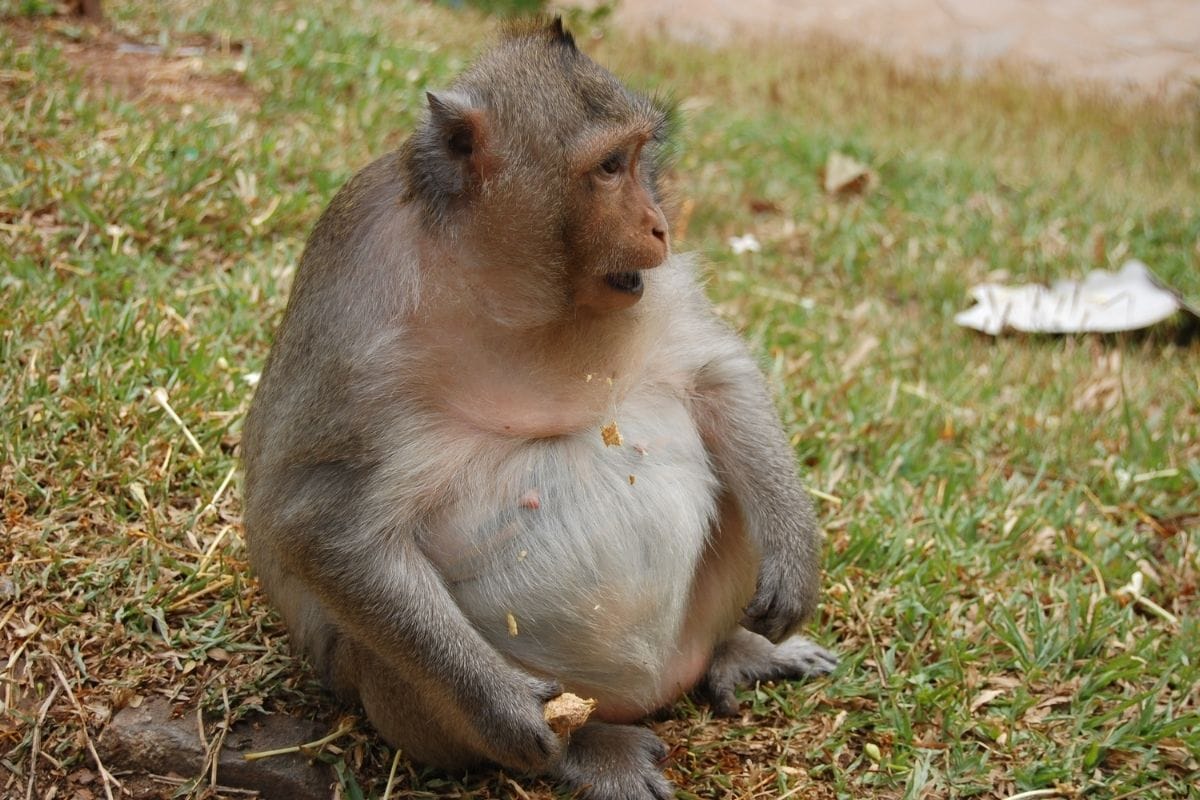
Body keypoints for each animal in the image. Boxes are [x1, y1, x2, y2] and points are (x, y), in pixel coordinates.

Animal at [241, 18, 836, 800]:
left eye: (639, 157)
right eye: (609, 166)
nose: (658, 225)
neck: (507, 292)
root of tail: (655, 690)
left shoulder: (652, 290)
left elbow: (714, 372)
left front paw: (795, 553)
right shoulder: (357, 332)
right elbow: (318, 523)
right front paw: (505, 709)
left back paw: (735, 650)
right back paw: (584, 748)